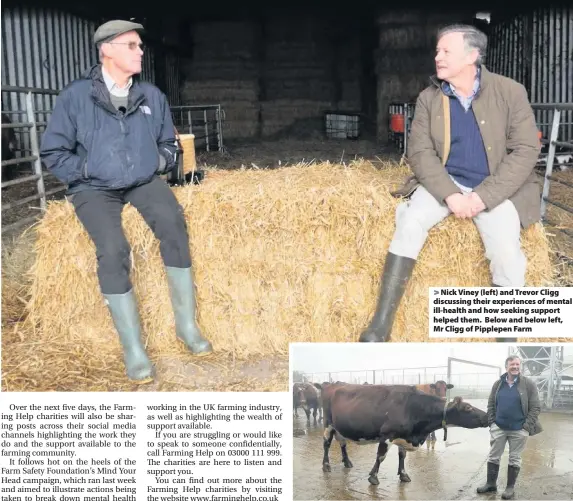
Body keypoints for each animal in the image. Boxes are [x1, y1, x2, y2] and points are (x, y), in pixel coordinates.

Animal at [320, 382, 484, 484]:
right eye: (468, 407)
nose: (487, 416)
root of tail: (332, 383)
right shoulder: (387, 435)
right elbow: (381, 456)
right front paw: (373, 477)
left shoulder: (403, 436)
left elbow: (402, 455)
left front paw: (404, 475)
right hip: (328, 423)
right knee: (326, 443)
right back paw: (326, 465)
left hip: (339, 427)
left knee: (342, 443)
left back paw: (347, 462)